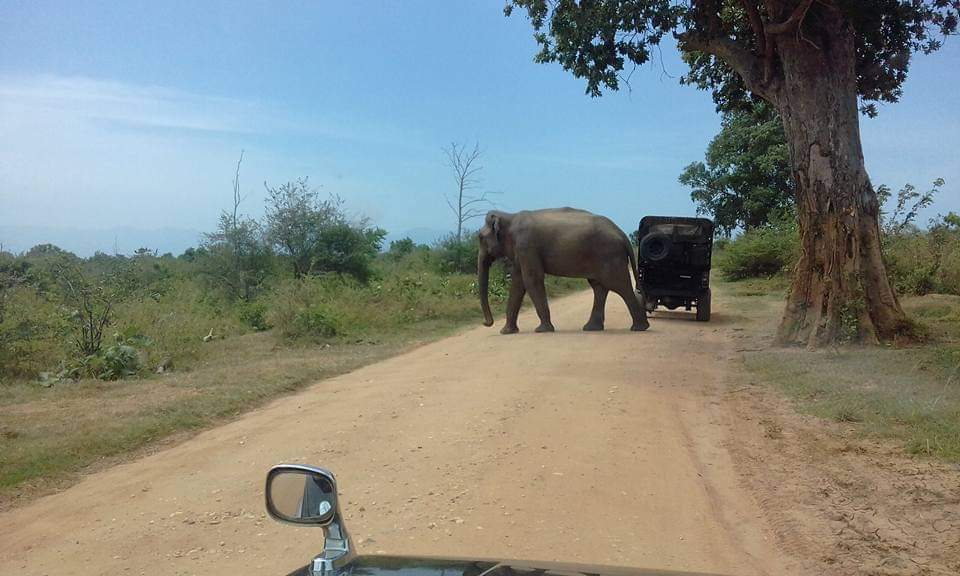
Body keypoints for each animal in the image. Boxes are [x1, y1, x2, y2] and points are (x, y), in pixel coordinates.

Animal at [476, 207, 648, 332]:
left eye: (480, 237)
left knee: (619, 286)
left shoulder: (527, 246)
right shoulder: (522, 251)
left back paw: (639, 328)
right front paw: (506, 332)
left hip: (609, 255)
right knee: (599, 287)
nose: (486, 323)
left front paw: (542, 330)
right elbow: (518, 284)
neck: (509, 217)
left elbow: (532, 280)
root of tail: (622, 233)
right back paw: (592, 328)